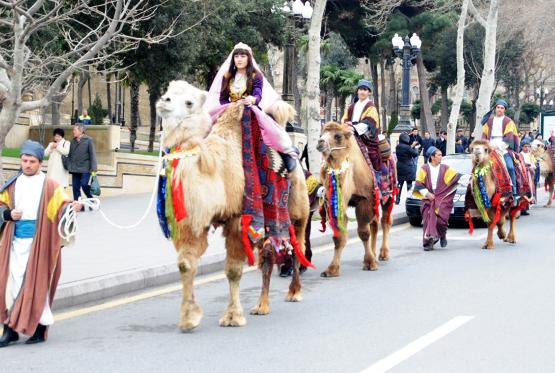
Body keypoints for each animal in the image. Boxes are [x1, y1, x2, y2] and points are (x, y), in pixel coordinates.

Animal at [156, 80, 310, 330]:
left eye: (189, 102)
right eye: (168, 92)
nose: (163, 101)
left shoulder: (238, 217)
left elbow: (234, 270)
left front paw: (233, 317)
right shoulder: (192, 221)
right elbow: (186, 264)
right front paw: (189, 318)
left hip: (298, 210)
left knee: (297, 248)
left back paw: (294, 293)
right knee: (267, 255)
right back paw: (261, 306)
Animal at [318, 121, 396, 276]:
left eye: (338, 136)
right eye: (322, 133)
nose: (320, 142)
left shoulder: (364, 200)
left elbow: (363, 233)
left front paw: (370, 263)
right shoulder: (337, 202)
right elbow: (338, 236)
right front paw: (332, 269)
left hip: (388, 194)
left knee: (385, 221)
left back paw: (383, 254)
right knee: (374, 223)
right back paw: (375, 254)